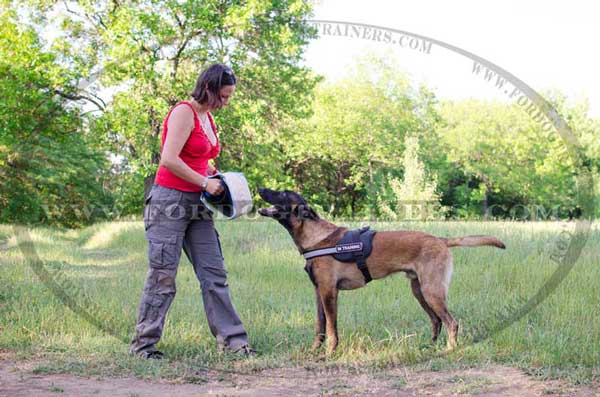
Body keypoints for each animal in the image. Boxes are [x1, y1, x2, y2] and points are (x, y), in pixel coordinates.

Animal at [258, 187, 506, 354]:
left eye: (281, 194)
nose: (260, 188)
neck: (316, 238)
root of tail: (440, 240)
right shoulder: (319, 292)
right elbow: (320, 325)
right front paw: (314, 351)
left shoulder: (329, 292)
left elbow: (331, 328)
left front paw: (329, 353)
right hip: (419, 291)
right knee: (436, 321)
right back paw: (429, 345)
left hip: (431, 291)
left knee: (451, 322)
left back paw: (449, 350)